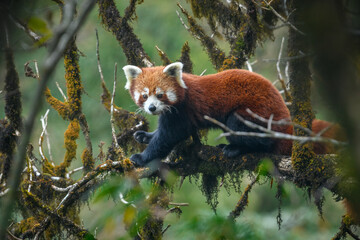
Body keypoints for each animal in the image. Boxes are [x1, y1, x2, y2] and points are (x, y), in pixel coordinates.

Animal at [122, 62, 342, 166]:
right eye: (144, 96)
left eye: (160, 95)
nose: (152, 108)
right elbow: (162, 133)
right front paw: (145, 135)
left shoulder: (182, 110)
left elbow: (167, 137)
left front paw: (142, 157)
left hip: (256, 113)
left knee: (244, 129)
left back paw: (236, 148)